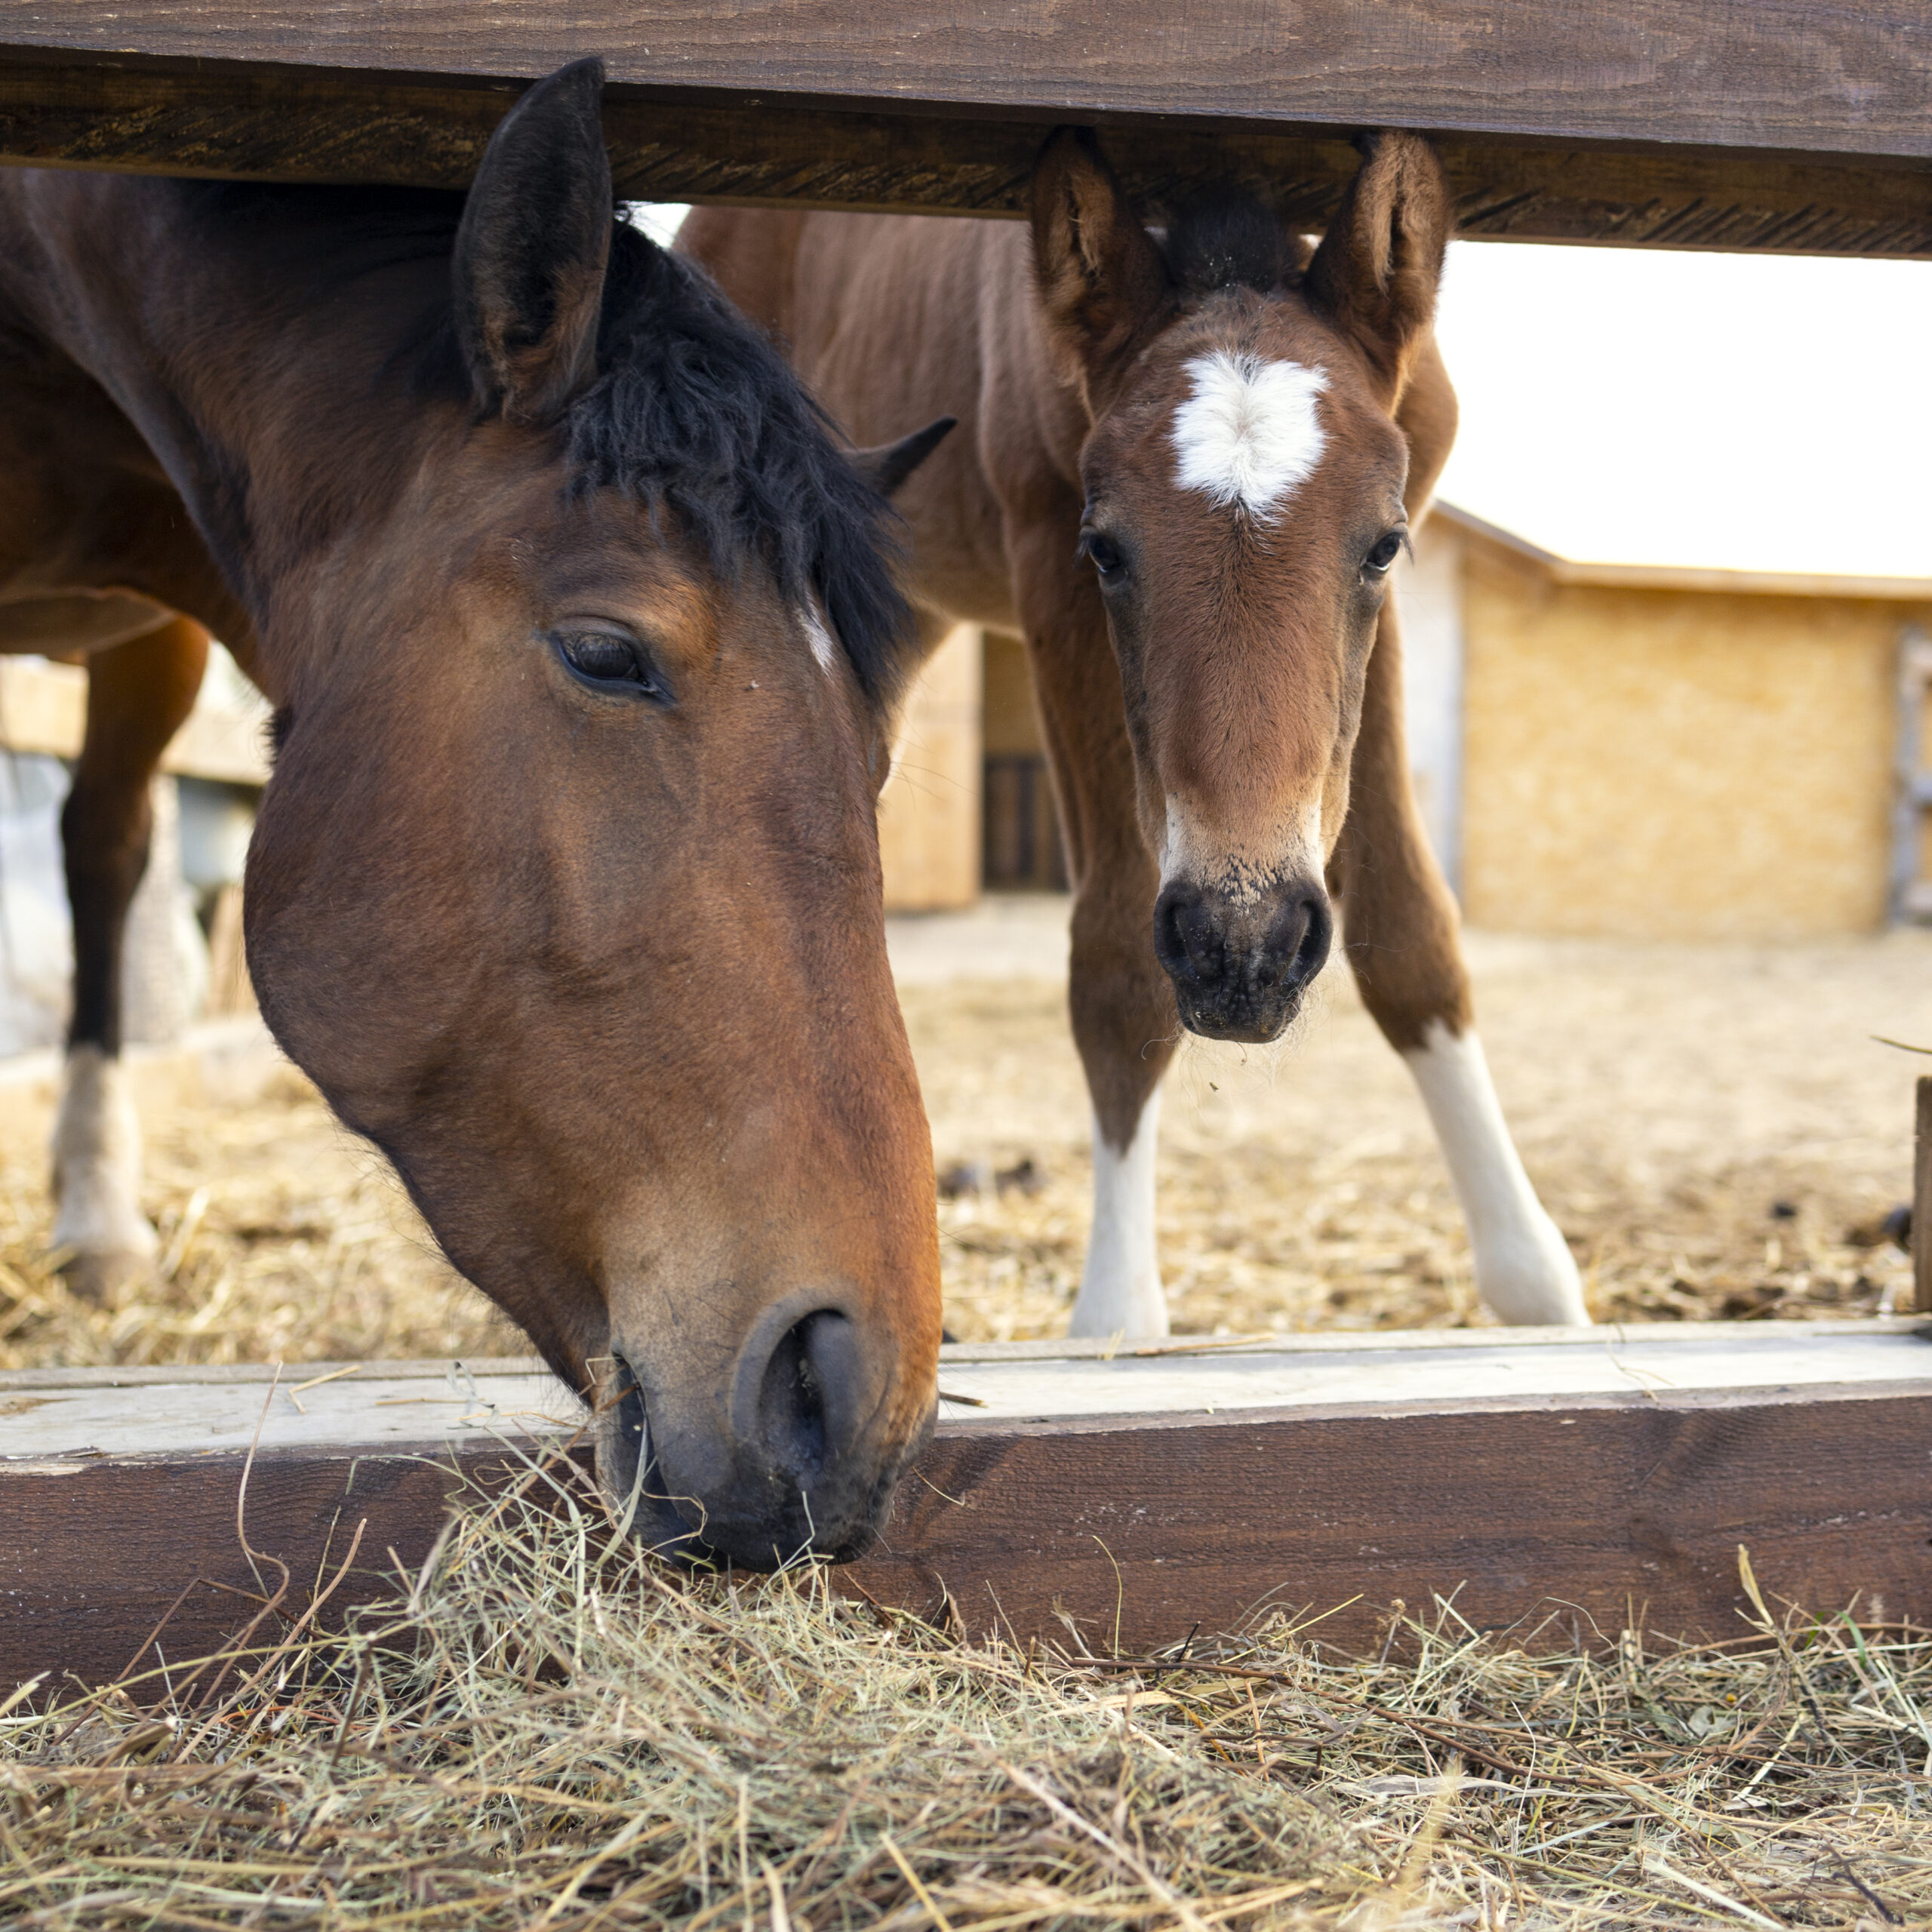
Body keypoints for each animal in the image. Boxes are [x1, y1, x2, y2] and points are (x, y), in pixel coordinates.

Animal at [683, 129, 1589, 1337]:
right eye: (1106, 549)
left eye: (1383, 546)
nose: (1244, 950)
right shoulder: (1049, 576)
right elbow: (1115, 964)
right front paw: (1117, 1319)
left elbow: (1411, 930)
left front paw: (1536, 1288)